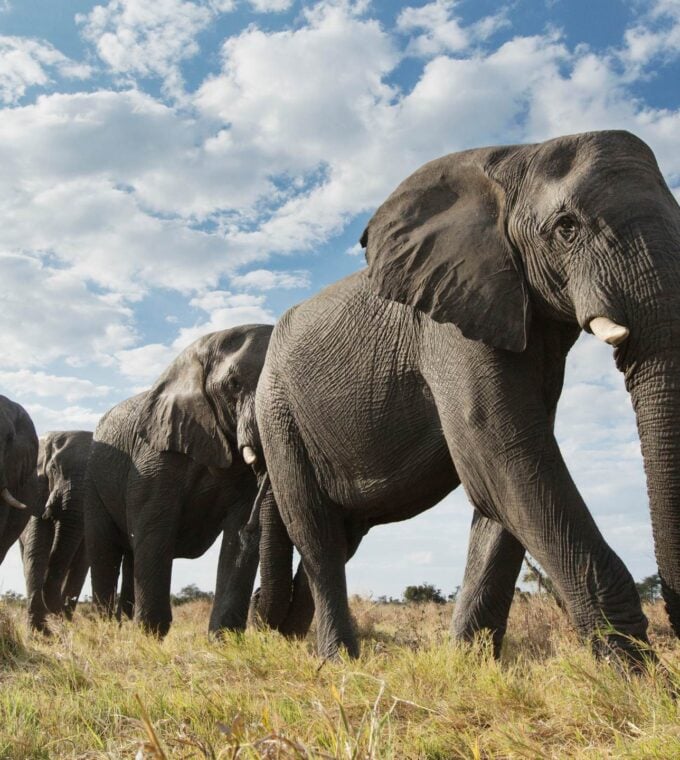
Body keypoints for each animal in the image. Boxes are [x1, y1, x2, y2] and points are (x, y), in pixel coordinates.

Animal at [85, 322, 274, 636]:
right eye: (234, 384)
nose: (259, 597)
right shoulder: (156, 455)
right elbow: (155, 528)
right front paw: (149, 637)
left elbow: (236, 539)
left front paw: (223, 640)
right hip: (93, 482)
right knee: (104, 550)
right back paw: (106, 629)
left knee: (131, 555)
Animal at [255, 132, 680, 664]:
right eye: (567, 228)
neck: (520, 156)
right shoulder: (449, 323)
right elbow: (502, 451)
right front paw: (635, 677)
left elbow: (504, 478)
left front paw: (468, 665)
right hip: (279, 414)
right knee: (317, 536)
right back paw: (338, 663)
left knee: (343, 534)